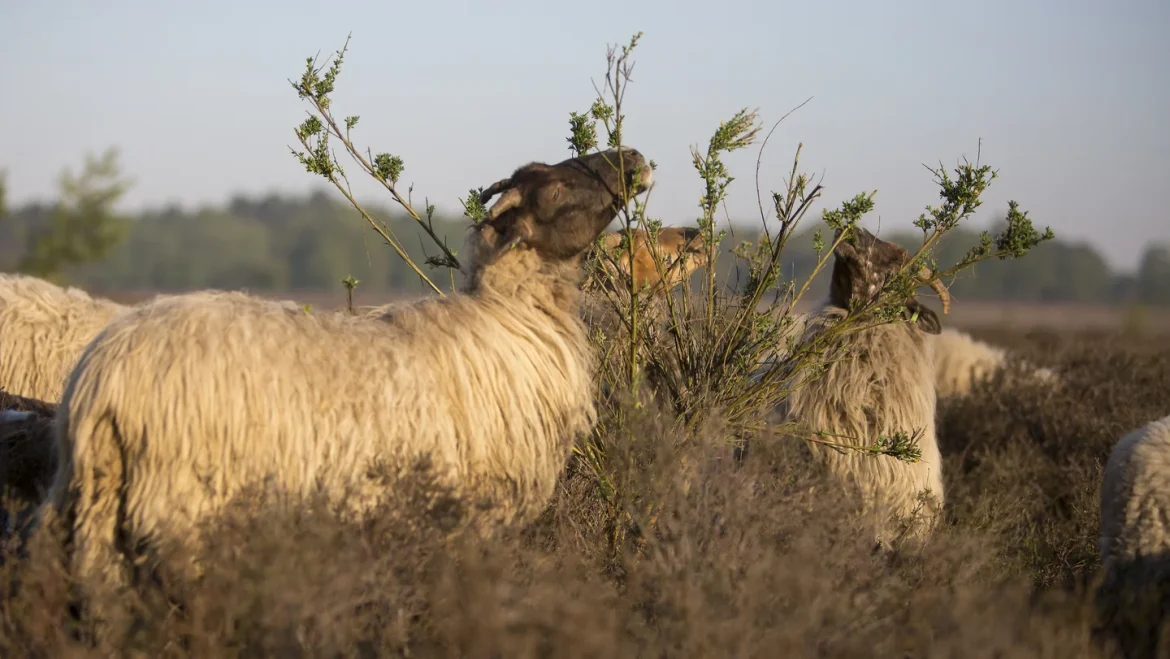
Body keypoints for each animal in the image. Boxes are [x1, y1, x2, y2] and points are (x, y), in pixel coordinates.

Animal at [38, 146, 659, 599]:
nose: (635, 156)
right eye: (555, 189)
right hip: (182, 510)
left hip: (101, 518)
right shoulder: (471, 519)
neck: (507, 319)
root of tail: (100, 376)